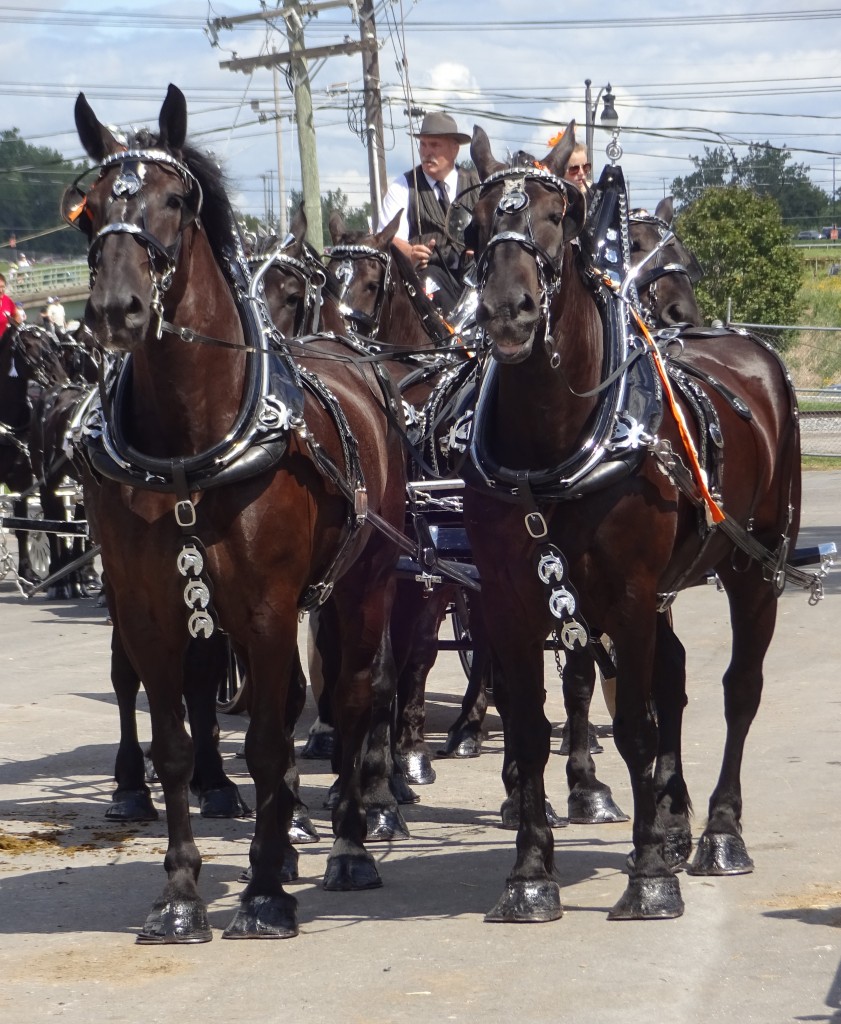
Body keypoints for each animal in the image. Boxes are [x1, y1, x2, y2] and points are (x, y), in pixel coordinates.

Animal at [68, 83, 403, 937]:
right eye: (90, 211)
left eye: (177, 201)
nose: (117, 309)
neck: (192, 442)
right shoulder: (150, 606)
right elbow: (176, 742)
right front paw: (184, 891)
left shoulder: (266, 605)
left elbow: (266, 740)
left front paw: (262, 894)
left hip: (365, 583)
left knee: (353, 697)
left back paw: (347, 843)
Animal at [463, 123, 803, 925]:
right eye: (475, 223)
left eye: (559, 216)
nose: (508, 312)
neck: (554, 441)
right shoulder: (510, 599)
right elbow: (531, 732)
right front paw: (530, 875)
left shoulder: (625, 593)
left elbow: (638, 725)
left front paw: (650, 874)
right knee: (674, 678)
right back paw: (677, 821)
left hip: (754, 569)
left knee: (738, 689)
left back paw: (717, 834)